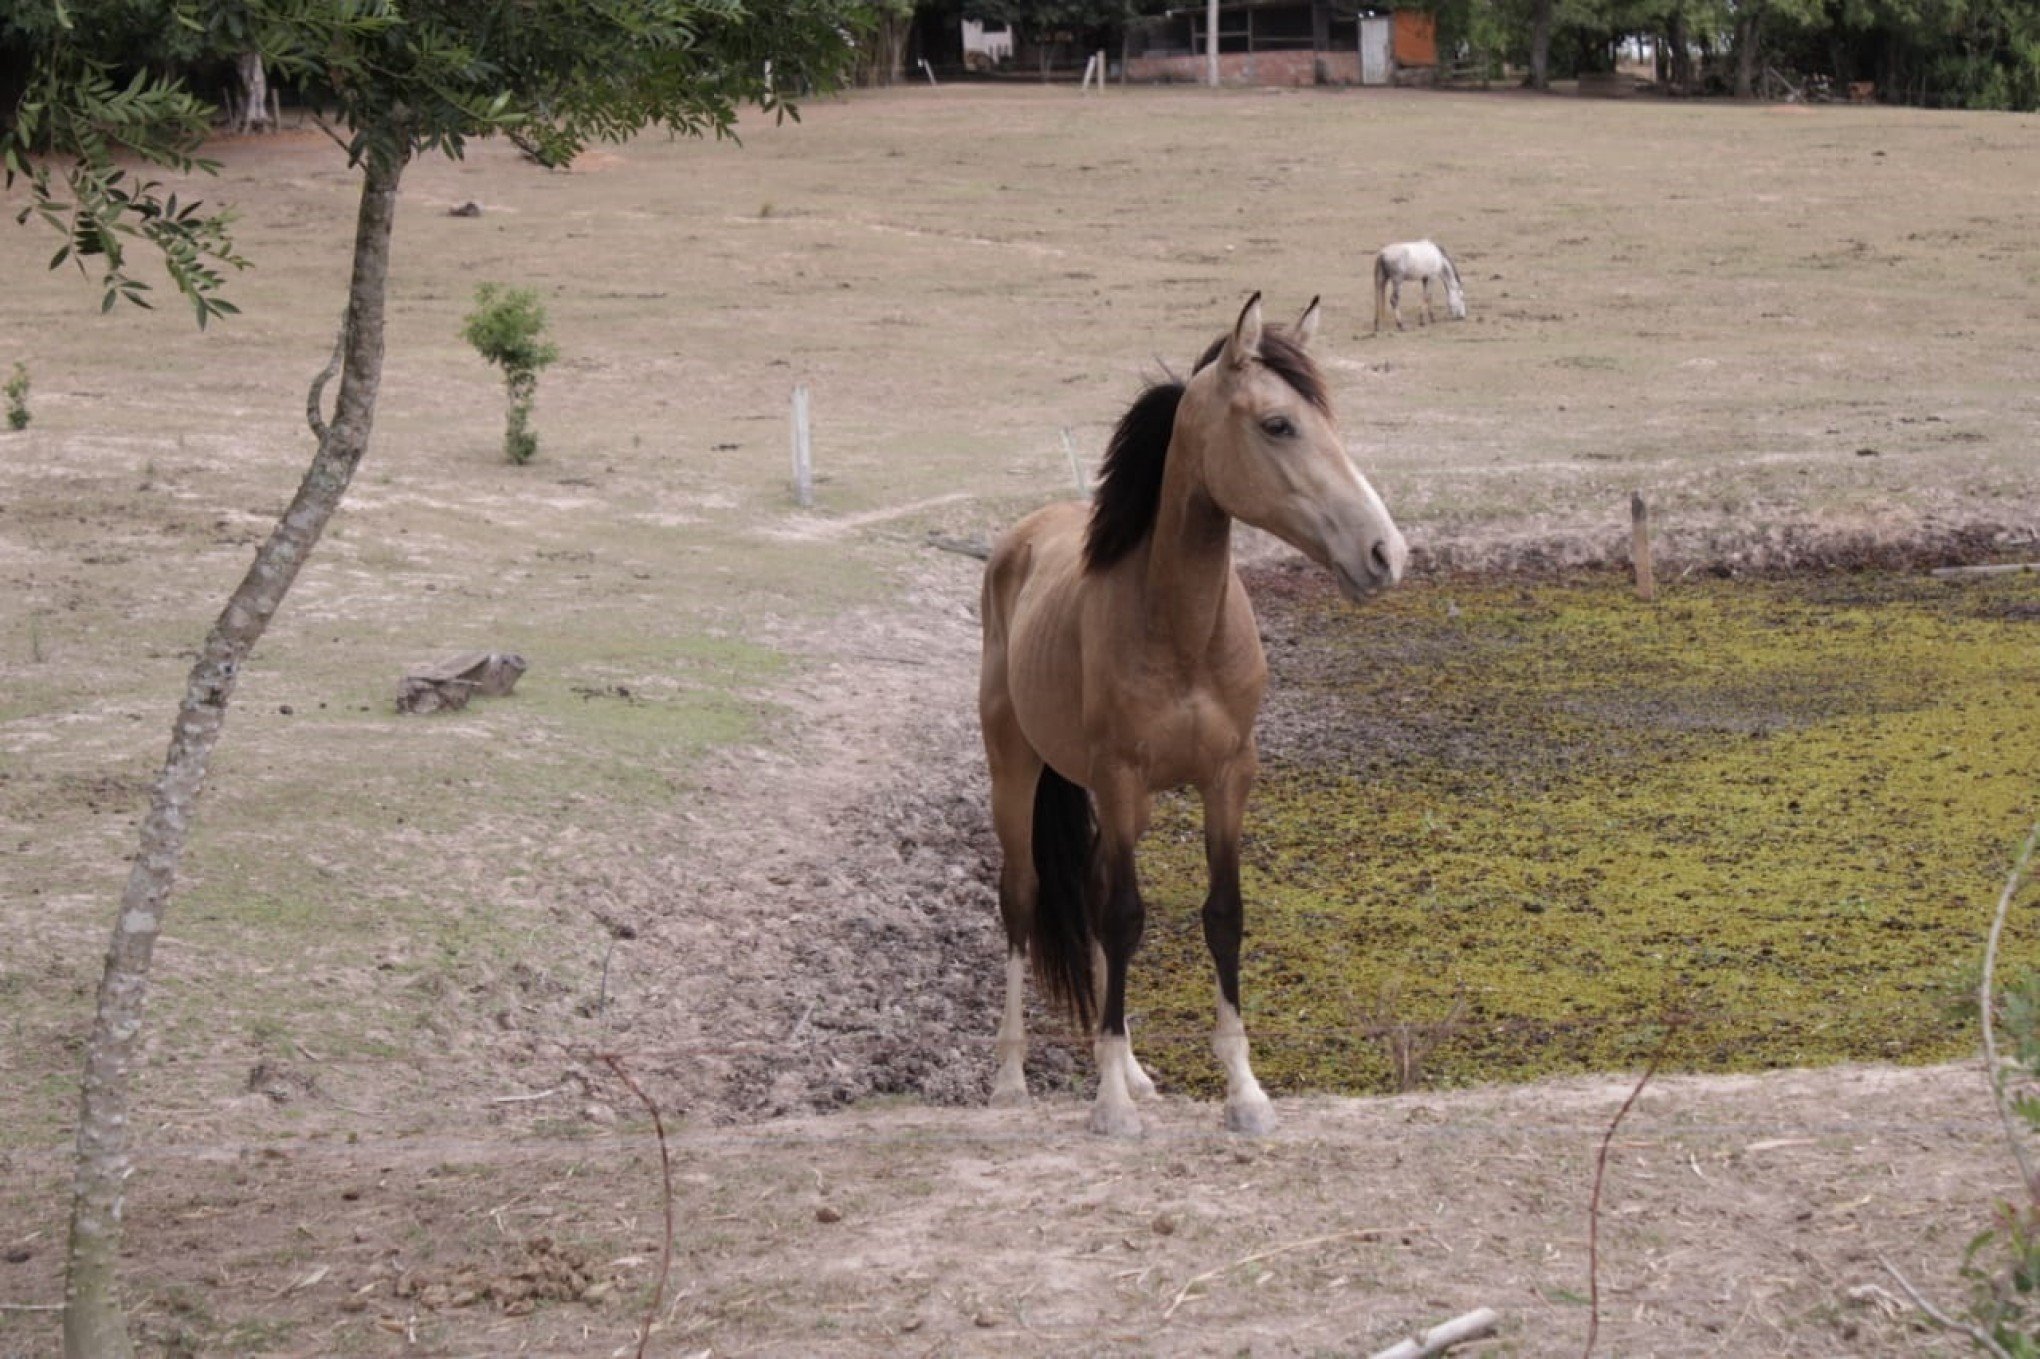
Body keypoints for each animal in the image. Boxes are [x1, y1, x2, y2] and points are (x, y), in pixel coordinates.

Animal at [979, 295, 1411, 1134]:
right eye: (1278, 424)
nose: (1386, 553)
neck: (1179, 628)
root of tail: (1019, 541)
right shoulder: (1119, 775)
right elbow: (1124, 915)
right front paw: (1111, 1105)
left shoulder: (1228, 775)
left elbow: (1221, 913)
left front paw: (1242, 1090)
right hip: (1016, 766)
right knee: (1023, 895)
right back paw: (1012, 1077)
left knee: (1090, 887)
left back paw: (1133, 1068)